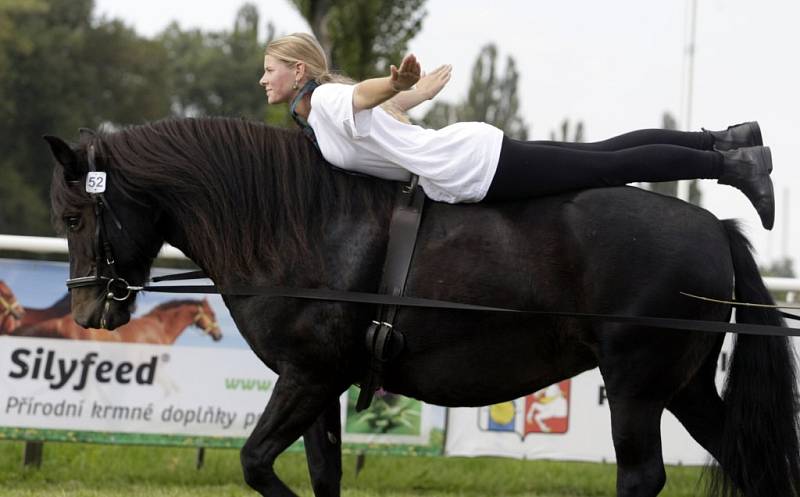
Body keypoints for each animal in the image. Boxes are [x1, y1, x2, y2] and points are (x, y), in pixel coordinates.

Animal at [45, 117, 800, 496]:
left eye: (76, 215)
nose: (87, 311)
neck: (304, 226)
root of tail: (715, 229)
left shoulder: (307, 376)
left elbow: (256, 462)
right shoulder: (321, 386)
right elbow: (321, 473)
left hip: (637, 388)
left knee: (643, 476)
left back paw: (748, 165)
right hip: (685, 387)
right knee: (752, 462)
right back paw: (745, 157)